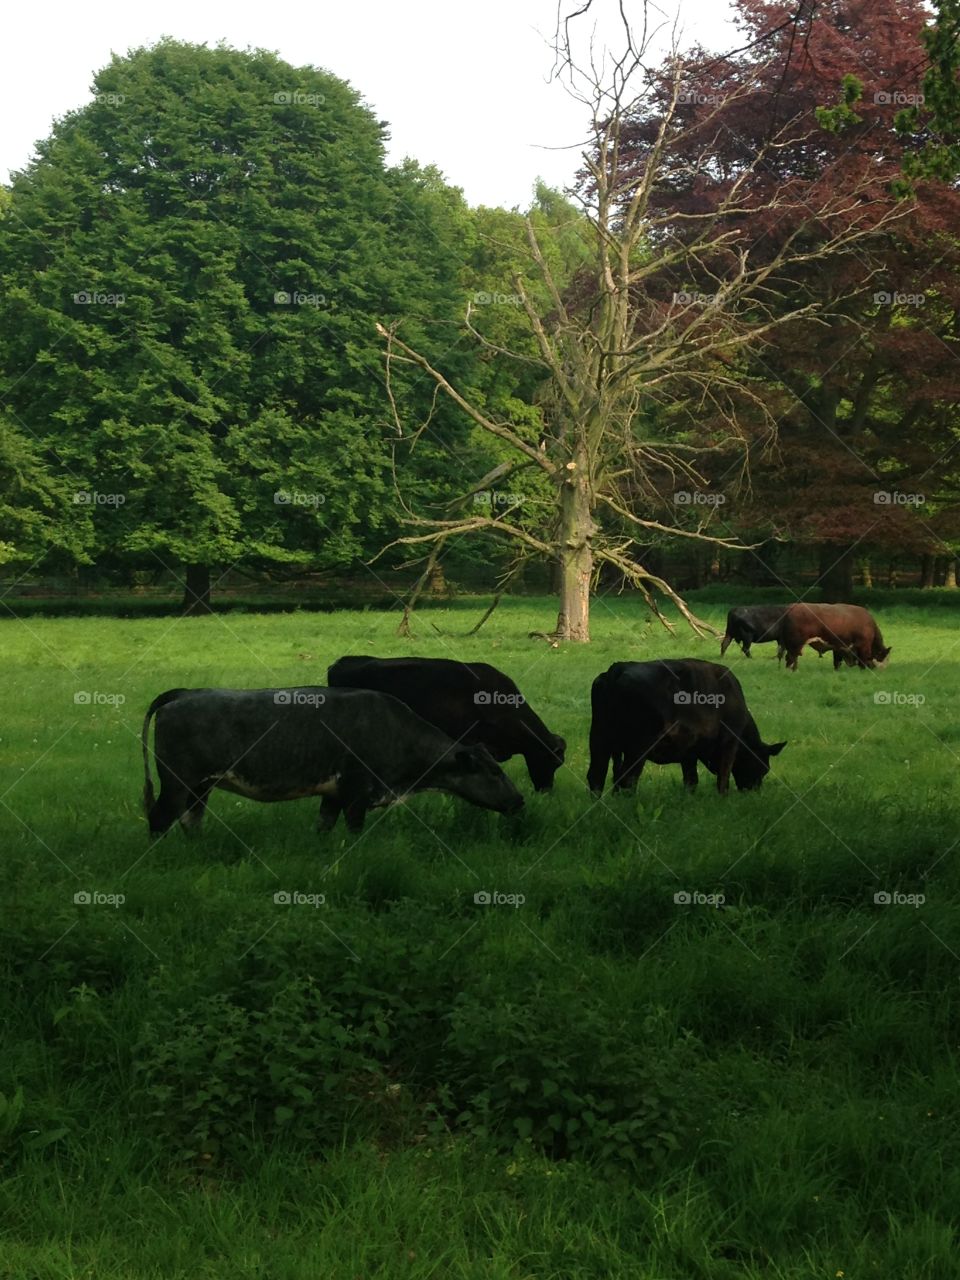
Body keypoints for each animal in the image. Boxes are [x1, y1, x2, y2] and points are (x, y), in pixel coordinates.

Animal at [141, 686, 524, 838]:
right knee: (160, 819)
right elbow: (354, 829)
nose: (520, 799)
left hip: (200, 787)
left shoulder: (333, 794)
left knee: (190, 820)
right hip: (177, 782)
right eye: (494, 771)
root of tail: (185, 693)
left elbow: (323, 827)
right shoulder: (357, 789)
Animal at [587, 659, 786, 796]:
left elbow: (691, 780)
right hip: (637, 748)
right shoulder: (729, 742)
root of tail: (619, 668)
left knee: (597, 776)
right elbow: (723, 776)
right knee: (627, 779)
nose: (754, 791)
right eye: (763, 768)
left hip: (599, 741)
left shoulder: (689, 751)